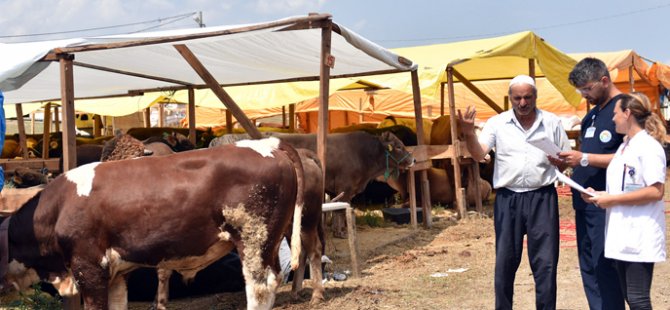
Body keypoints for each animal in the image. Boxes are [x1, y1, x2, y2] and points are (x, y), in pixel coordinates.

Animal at [0, 137, 304, 310]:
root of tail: (268, 143)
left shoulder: (89, 268)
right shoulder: (116, 274)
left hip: (254, 240)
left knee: (259, 289)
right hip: (270, 241)